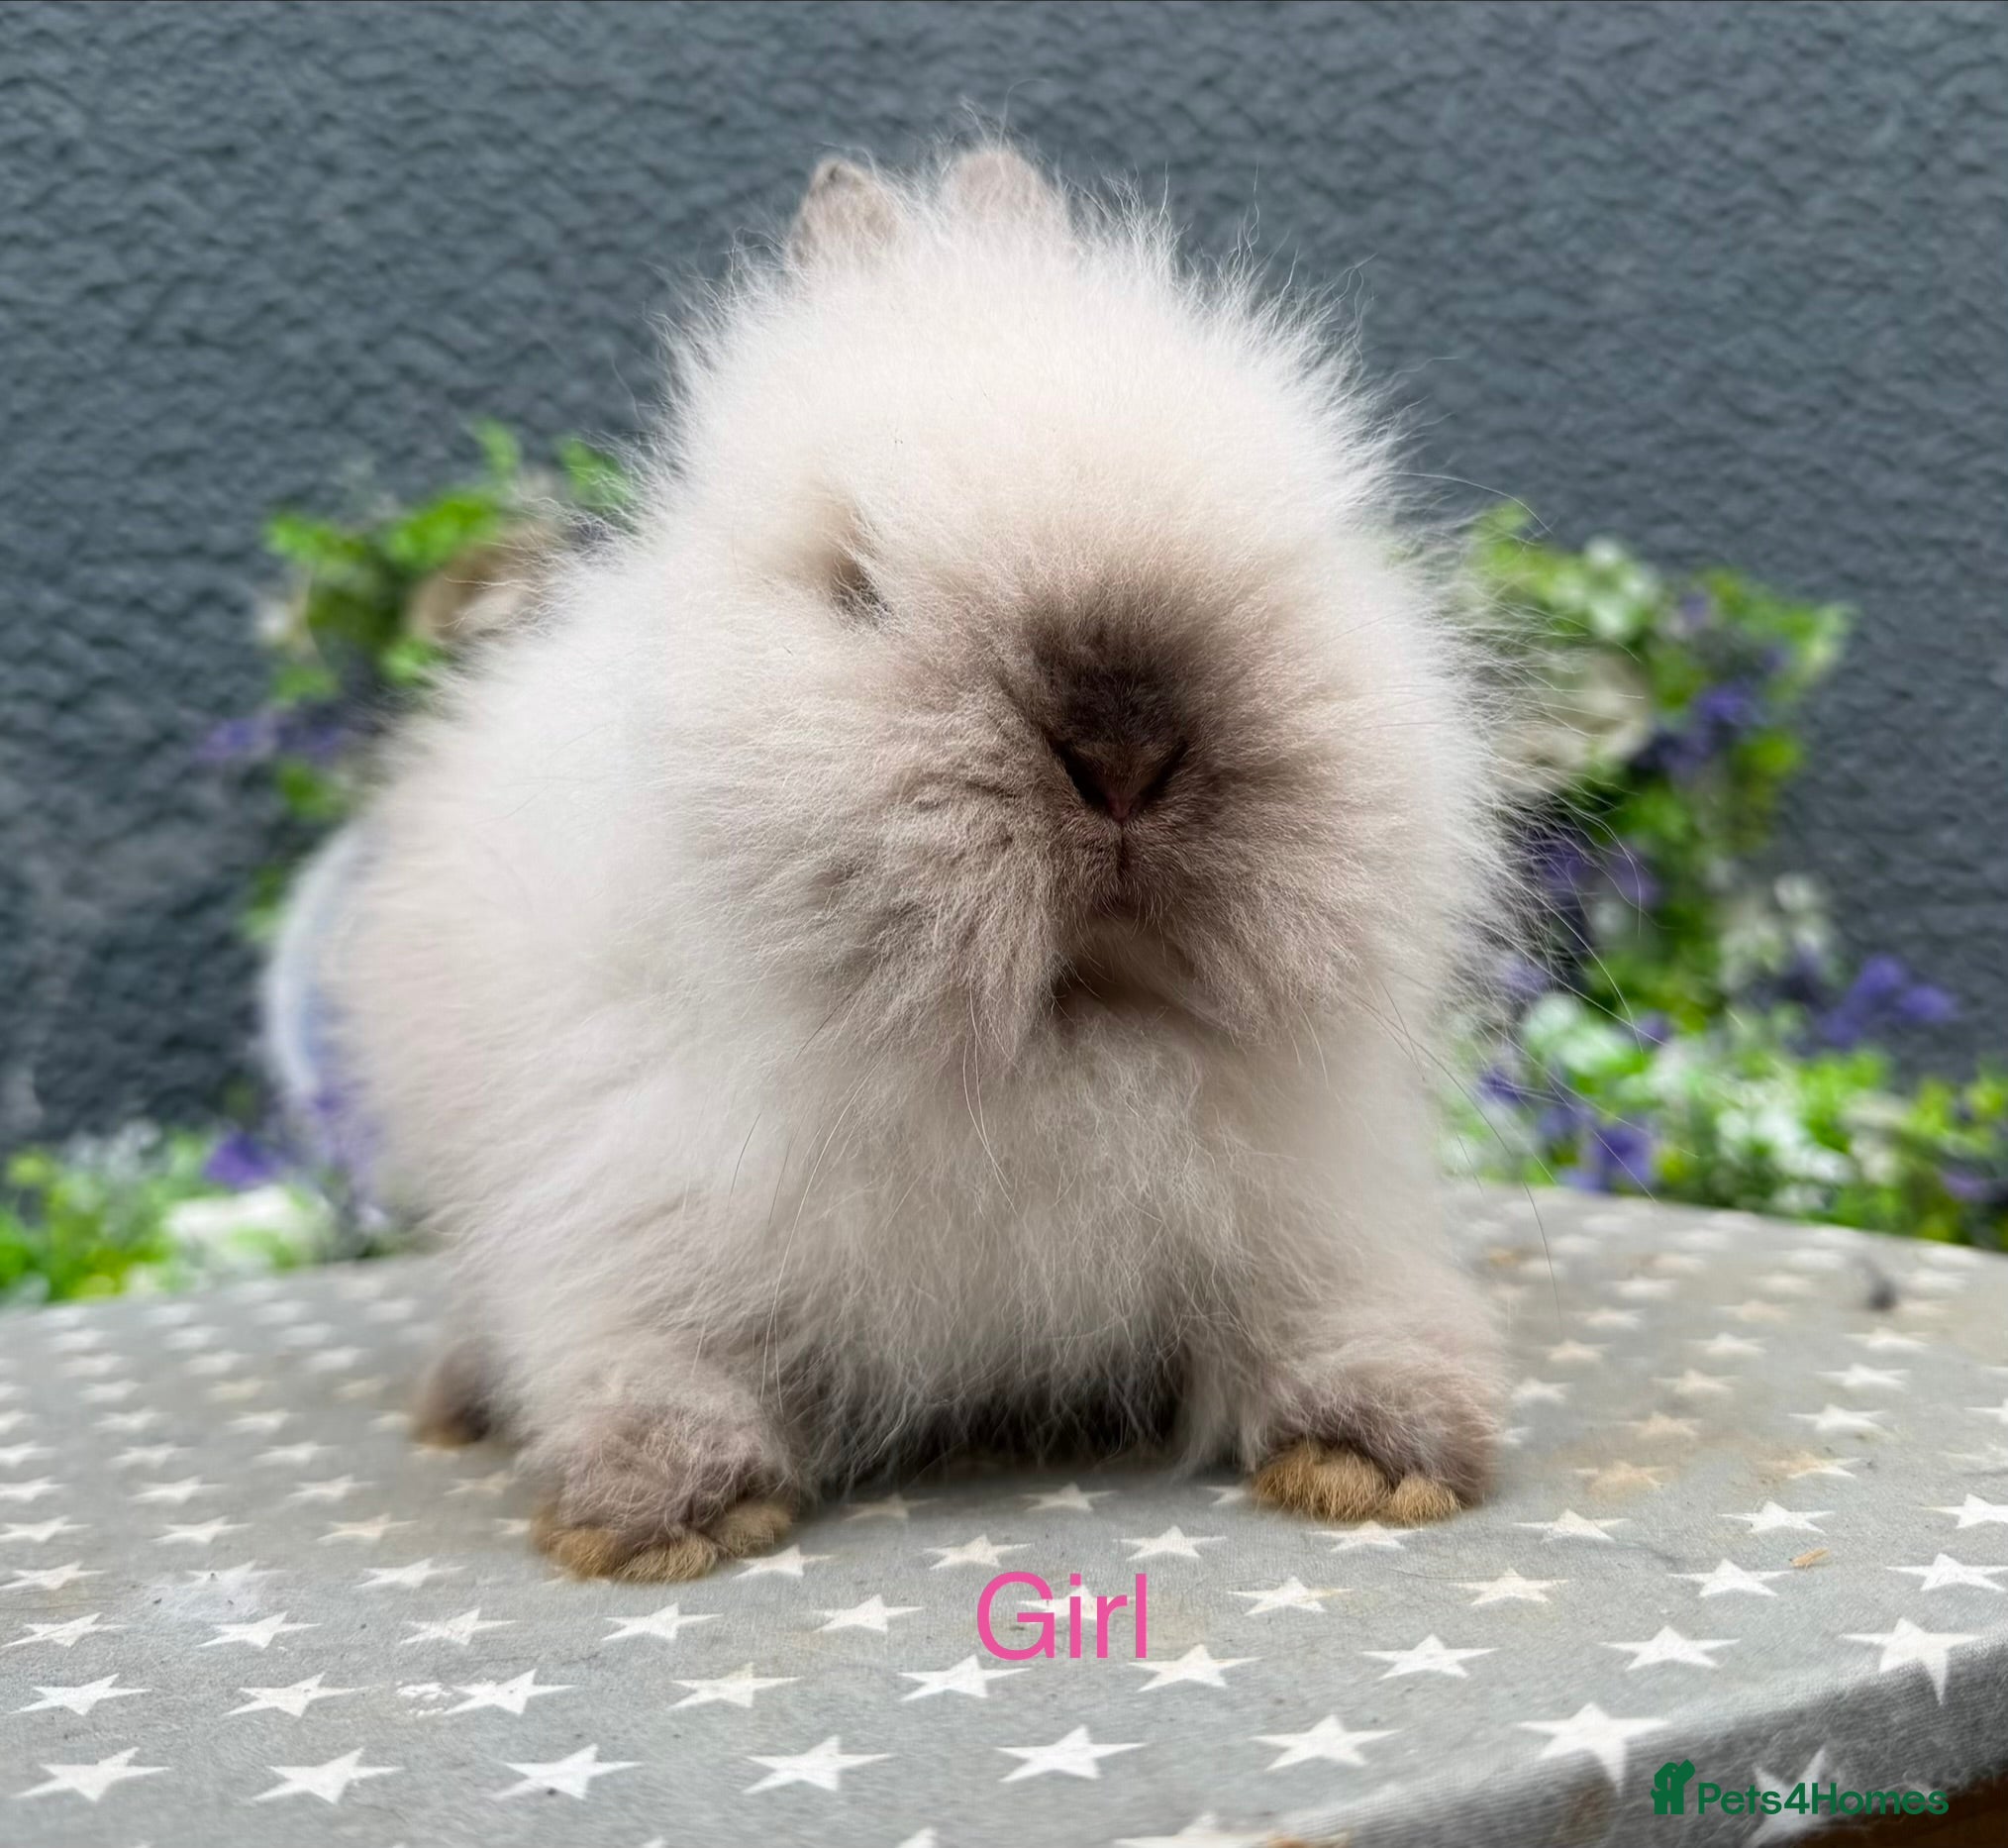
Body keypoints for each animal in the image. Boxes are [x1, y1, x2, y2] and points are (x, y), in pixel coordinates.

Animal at [319, 145, 1508, 1581]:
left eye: (1292, 555)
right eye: (854, 586)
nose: (1124, 747)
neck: (1060, 1047)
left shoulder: (1314, 1211)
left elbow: (1337, 1315)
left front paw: (1380, 1450)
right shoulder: (619, 1210)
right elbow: (639, 1355)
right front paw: (663, 1505)